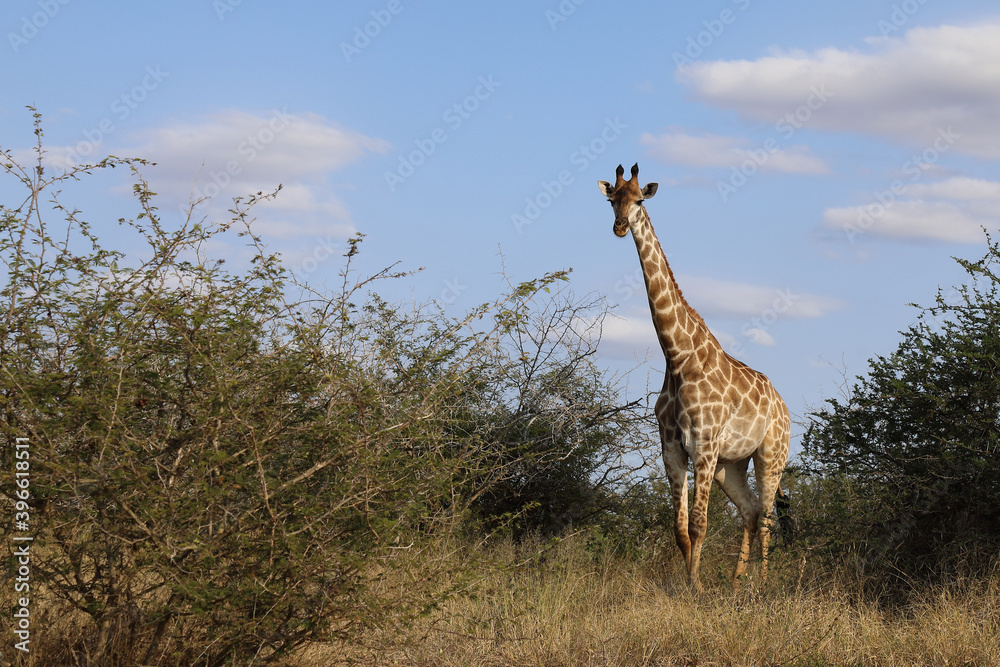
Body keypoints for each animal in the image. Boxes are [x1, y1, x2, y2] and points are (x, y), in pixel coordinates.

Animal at [598, 163, 791, 591]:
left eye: (640, 200)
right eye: (611, 199)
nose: (619, 227)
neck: (677, 356)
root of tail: (785, 407)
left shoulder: (703, 443)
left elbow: (700, 524)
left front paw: (694, 587)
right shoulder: (672, 446)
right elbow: (680, 528)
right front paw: (690, 582)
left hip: (771, 454)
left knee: (768, 516)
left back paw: (763, 584)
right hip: (730, 464)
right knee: (751, 510)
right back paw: (736, 583)